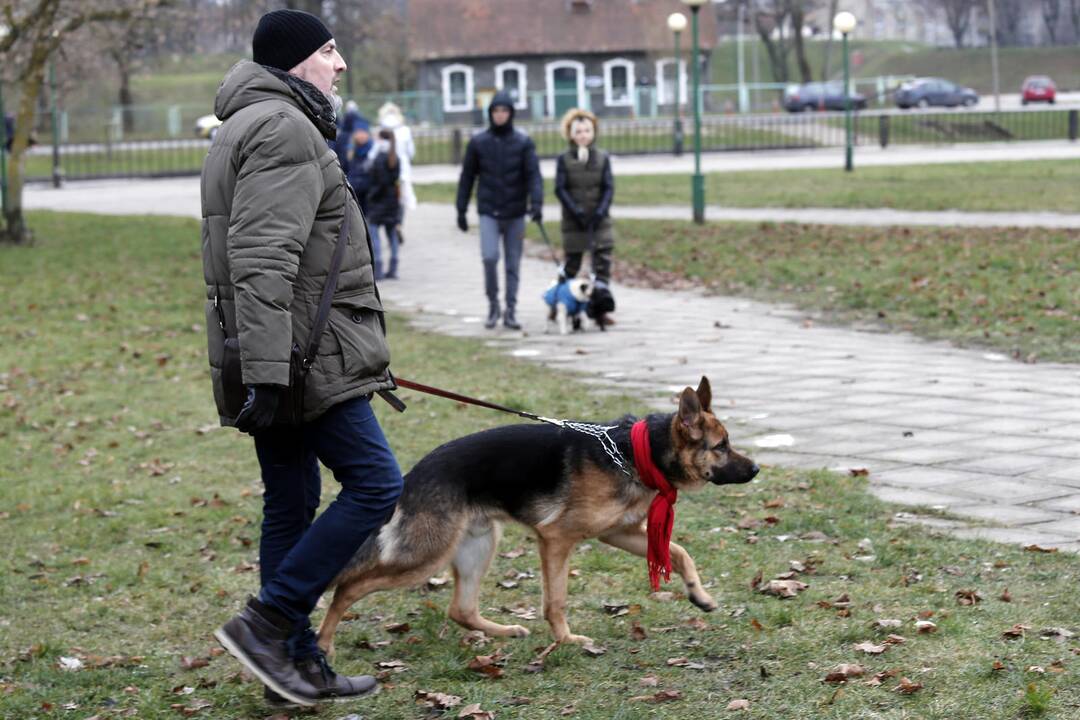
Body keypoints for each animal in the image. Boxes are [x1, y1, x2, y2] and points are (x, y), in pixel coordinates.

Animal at [315, 377, 760, 651]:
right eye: (721, 446)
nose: (757, 469)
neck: (637, 453)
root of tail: (412, 475)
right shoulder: (557, 539)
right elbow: (556, 599)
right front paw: (565, 641)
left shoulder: (616, 533)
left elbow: (681, 552)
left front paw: (699, 595)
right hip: (425, 556)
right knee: (348, 586)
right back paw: (323, 644)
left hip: (478, 545)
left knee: (461, 609)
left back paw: (504, 630)